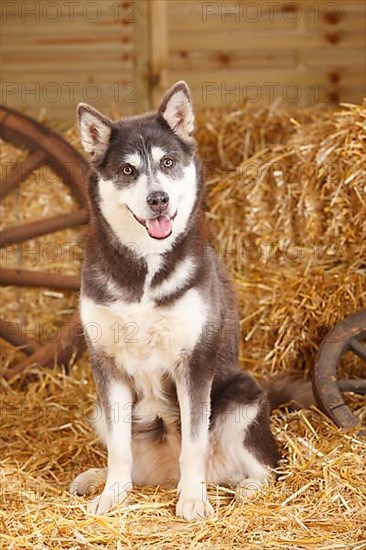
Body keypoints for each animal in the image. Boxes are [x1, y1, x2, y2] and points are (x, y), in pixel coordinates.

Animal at [69, 82, 312, 520]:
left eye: (167, 162)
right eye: (128, 170)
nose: (159, 199)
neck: (146, 265)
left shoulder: (195, 362)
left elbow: (195, 443)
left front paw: (194, 500)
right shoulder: (107, 364)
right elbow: (119, 449)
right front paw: (112, 494)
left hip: (242, 399)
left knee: (268, 468)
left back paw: (244, 489)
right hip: (97, 408)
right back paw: (95, 478)